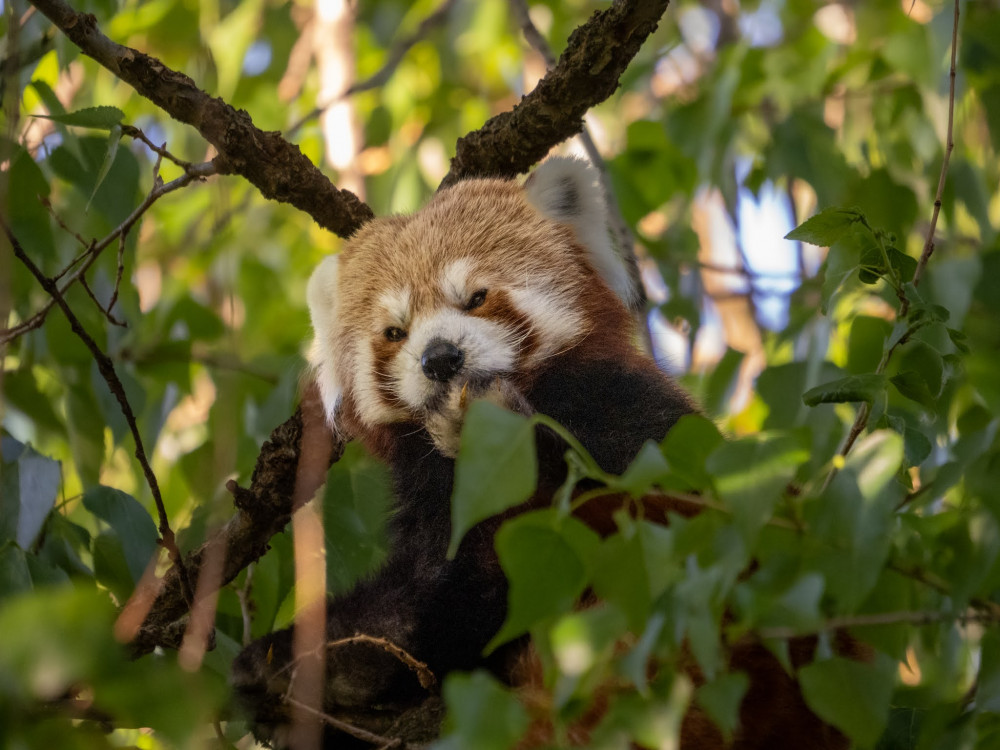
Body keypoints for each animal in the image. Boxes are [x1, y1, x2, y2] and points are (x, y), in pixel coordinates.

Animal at [232, 160, 852, 750]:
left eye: (475, 297)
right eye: (394, 332)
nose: (440, 359)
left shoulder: (627, 412)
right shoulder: (432, 491)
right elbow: (428, 586)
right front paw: (294, 661)